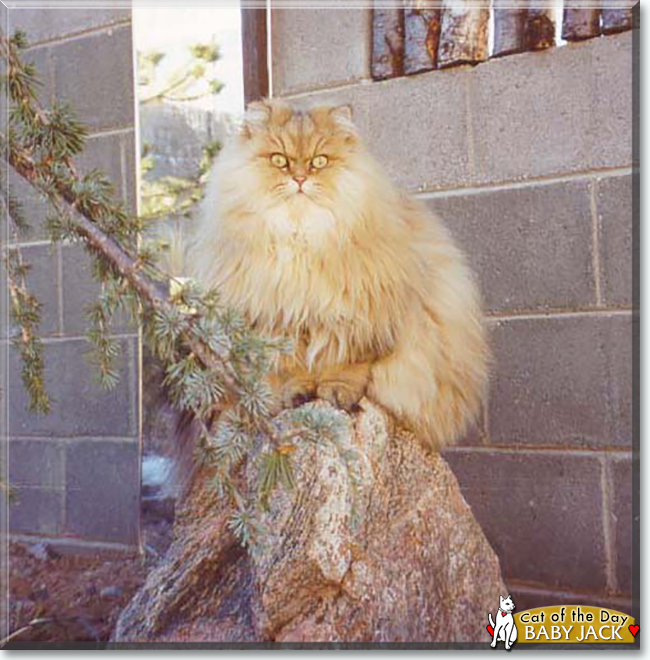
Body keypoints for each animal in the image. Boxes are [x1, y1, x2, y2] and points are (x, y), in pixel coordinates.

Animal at [187, 98, 486, 448]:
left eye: (319, 161)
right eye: (279, 160)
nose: (300, 179)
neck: (300, 238)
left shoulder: (361, 321)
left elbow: (346, 366)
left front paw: (336, 392)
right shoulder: (282, 322)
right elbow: (295, 368)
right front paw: (299, 393)